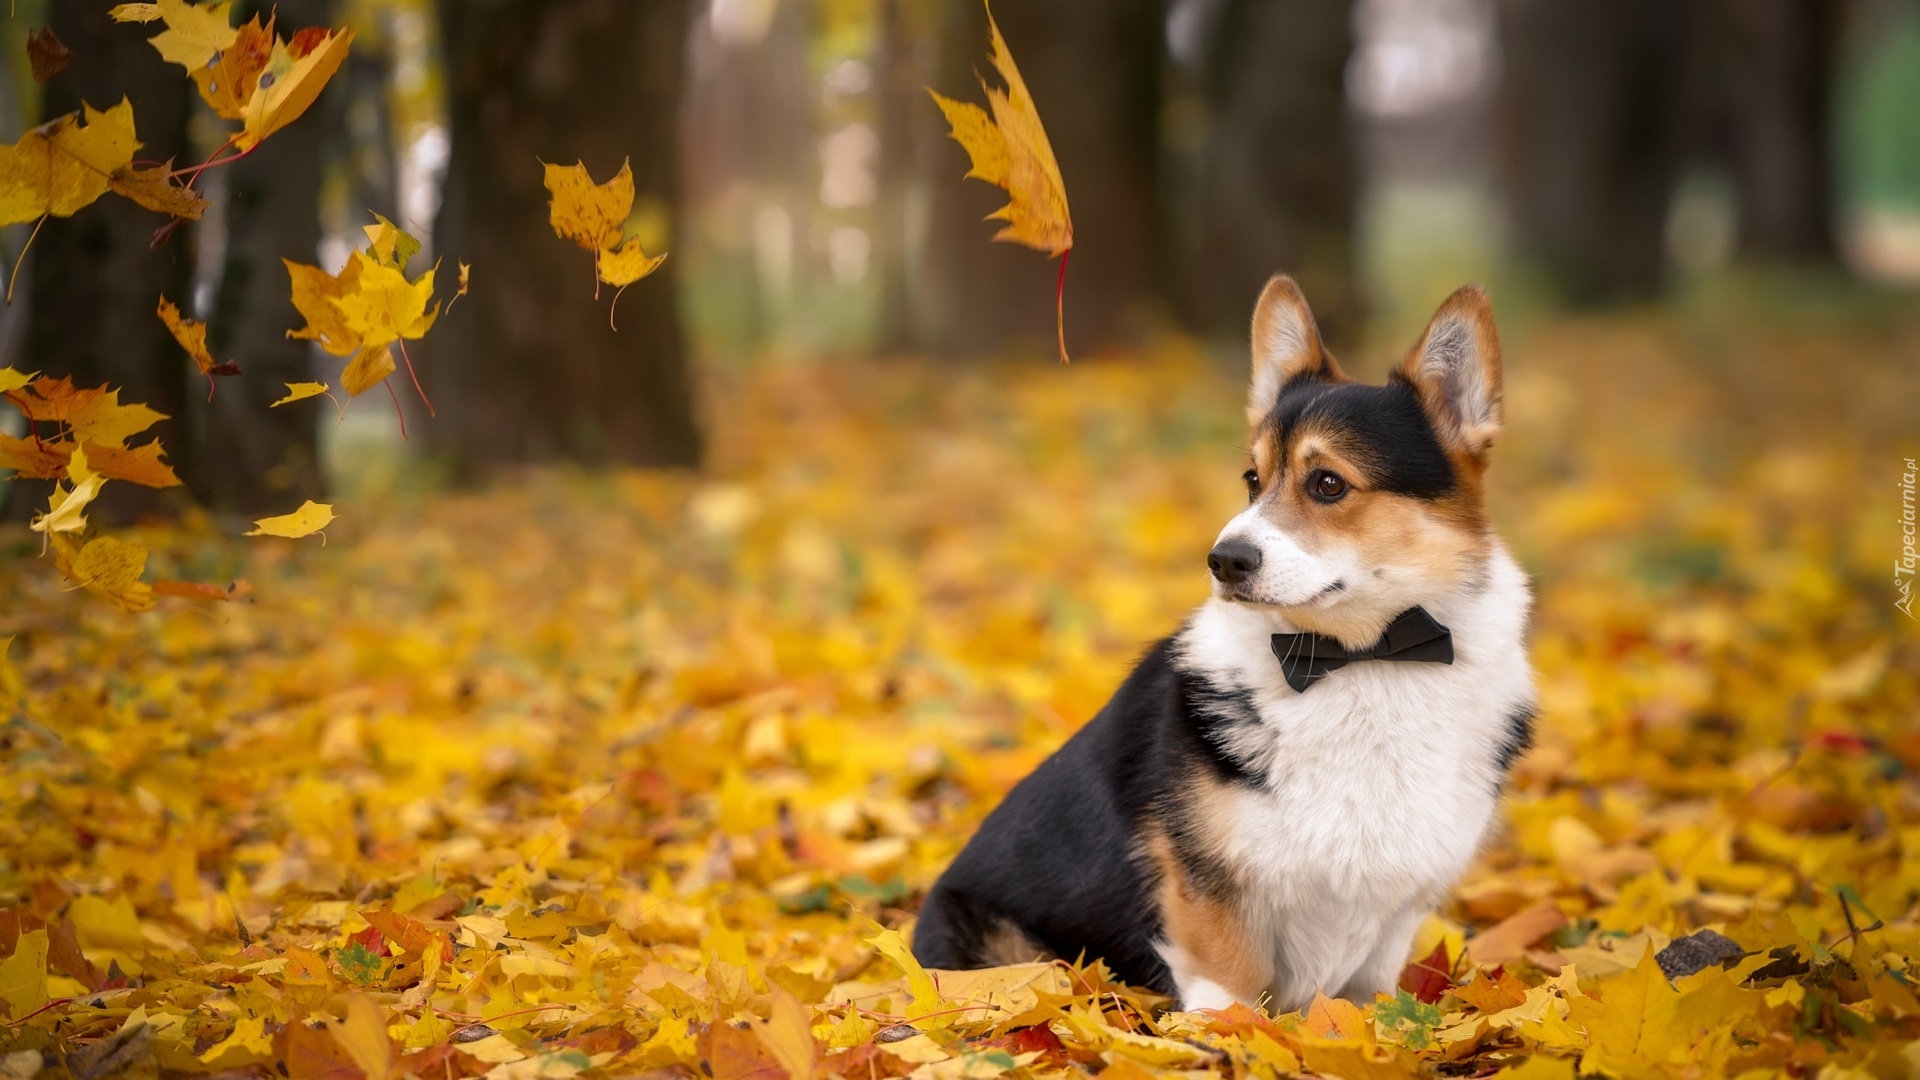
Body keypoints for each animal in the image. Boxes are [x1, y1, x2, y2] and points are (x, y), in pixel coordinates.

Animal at [906, 274, 1536, 1006]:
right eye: (1252, 481)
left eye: (1328, 483)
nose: (1224, 561)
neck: (1359, 659)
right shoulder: (1210, 887)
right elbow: (1229, 985)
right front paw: (1229, 1032)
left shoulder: (1396, 913)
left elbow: (1367, 999)